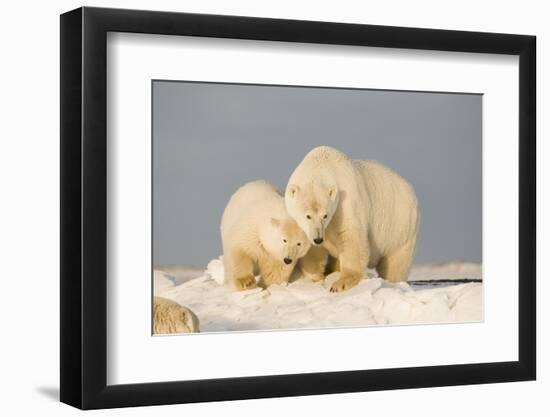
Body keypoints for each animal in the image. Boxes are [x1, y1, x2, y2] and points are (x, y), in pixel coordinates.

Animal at [286, 146, 420, 292]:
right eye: (308, 216)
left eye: (325, 215)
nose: (318, 239)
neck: (321, 165)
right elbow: (312, 250)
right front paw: (315, 278)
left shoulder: (345, 204)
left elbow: (351, 238)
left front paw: (341, 284)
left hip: (400, 228)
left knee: (396, 263)